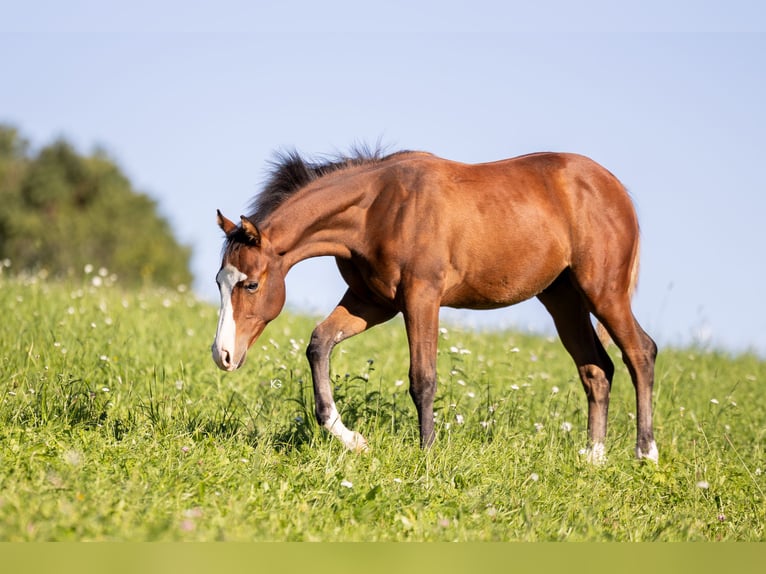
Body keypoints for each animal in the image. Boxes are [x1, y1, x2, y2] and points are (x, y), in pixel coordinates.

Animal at [212, 148, 658, 463]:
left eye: (251, 284)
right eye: (219, 281)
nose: (223, 354)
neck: (377, 209)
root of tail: (615, 188)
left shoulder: (421, 298)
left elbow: (422, 379)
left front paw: (427, 455)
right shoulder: (371, 303)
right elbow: (319, 343)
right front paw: (352, 439)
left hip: (604, 291)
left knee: (640, 352)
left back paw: (645, 453)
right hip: (562, 298)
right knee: (596, 368)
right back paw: (594, 458)